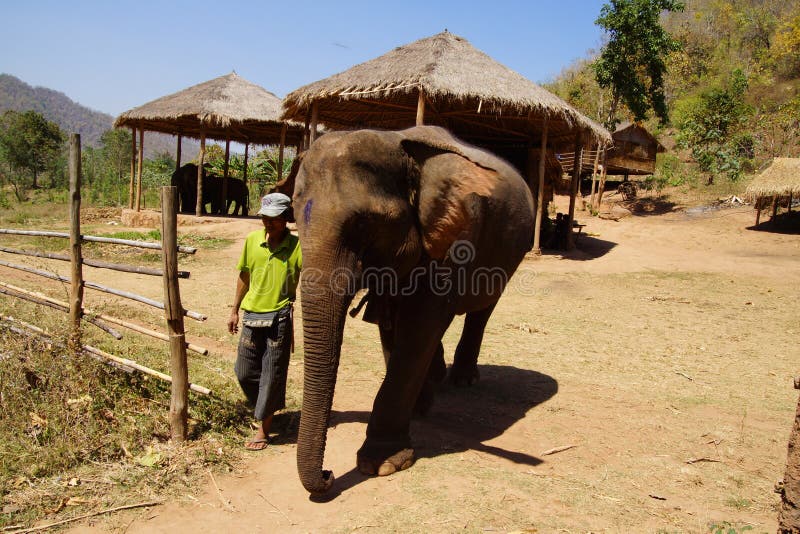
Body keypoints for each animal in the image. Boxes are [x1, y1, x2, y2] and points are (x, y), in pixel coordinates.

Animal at [291, 125, 535, 494]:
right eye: (294, 214)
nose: (328, 474)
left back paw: (462, 379)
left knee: (481, 310)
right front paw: (419, 409)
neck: (399, 141)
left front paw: (383, 463)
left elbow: (420, 324)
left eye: (364, 224)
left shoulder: (454, 237)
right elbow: (393, 324)